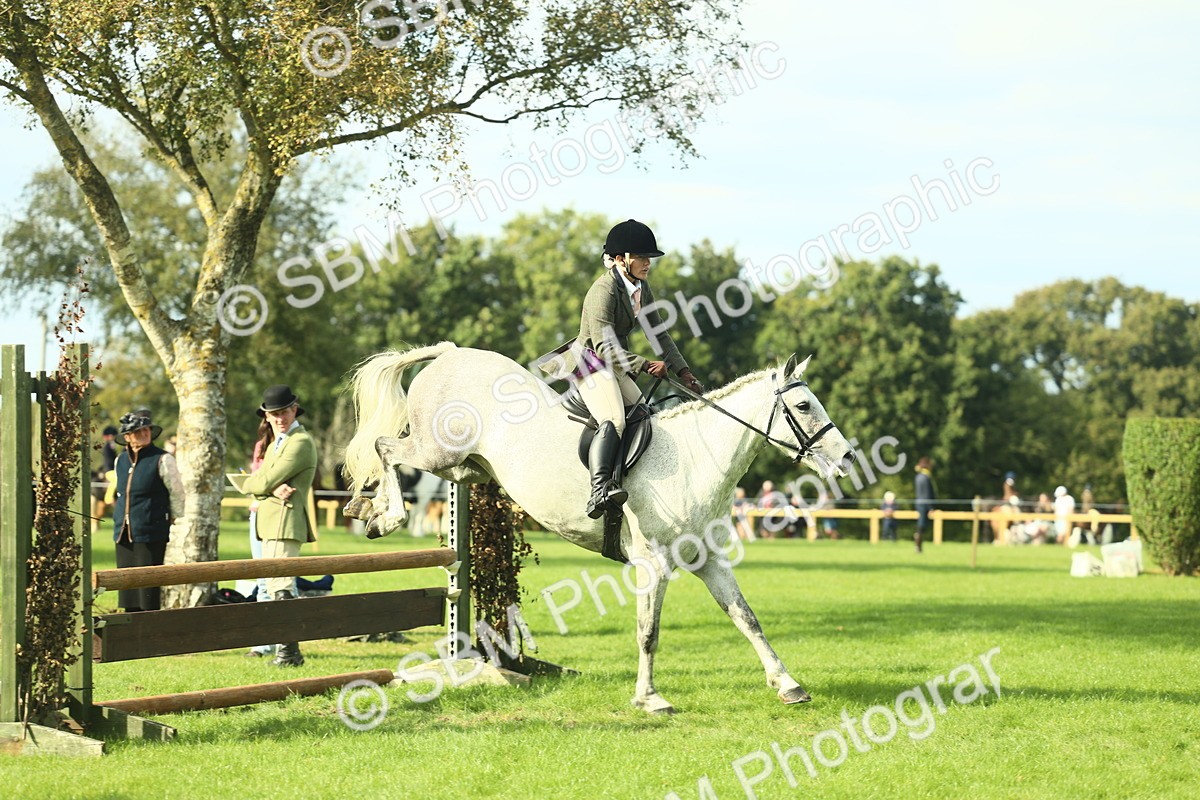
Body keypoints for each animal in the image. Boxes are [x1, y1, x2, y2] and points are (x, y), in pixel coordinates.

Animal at [342, 342, 855, 713]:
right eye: (804, 405)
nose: (849, 457)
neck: (697, 458)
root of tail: (450, 353)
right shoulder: (653, 564)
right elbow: (649, 632)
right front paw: (650, 699)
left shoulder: (709, 561)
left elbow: (747, 619)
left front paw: (788, 684)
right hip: (438, 453)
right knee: (387, 447)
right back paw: (380, 515)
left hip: (466, 469)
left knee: (400, 459)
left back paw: (368, 508)